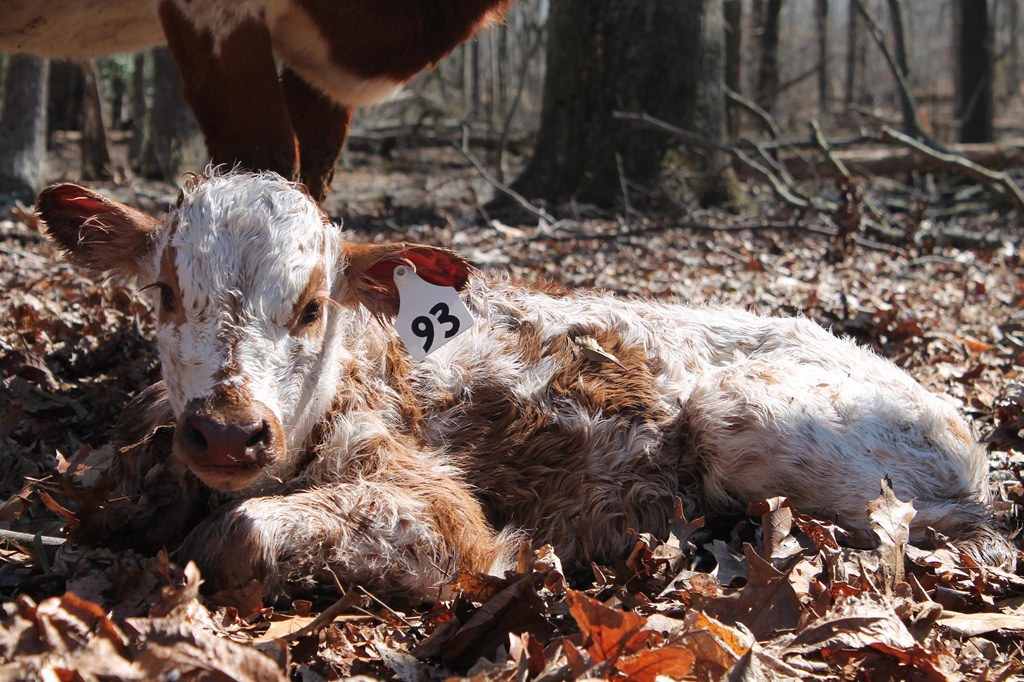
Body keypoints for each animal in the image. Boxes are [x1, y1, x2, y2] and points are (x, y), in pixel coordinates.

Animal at [36, 170, 1017, 599]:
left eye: (313, 306)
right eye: (166, 293)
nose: (229, 430)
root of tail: (973, 445)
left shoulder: (439, 510)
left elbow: (236, 535)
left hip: (747, 415)